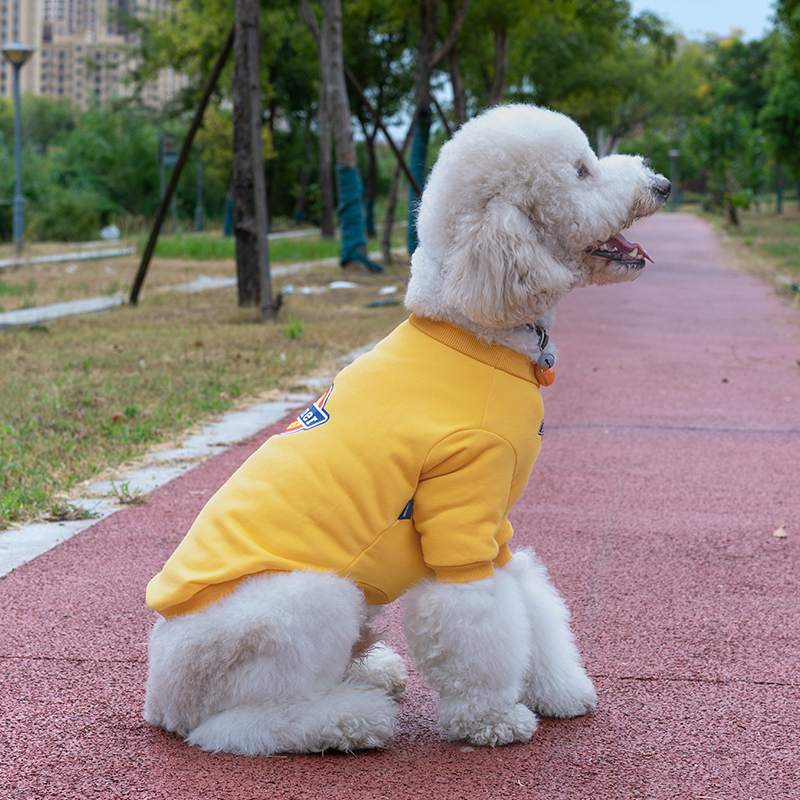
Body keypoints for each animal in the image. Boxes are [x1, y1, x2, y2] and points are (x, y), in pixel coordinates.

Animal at [144, 103, 668, 752]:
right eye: (581, 171)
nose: (661, 184)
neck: (472, 328)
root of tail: (159, 694)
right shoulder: (460, 511)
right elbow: (476, 619)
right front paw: (491, 719)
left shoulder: (495, 522)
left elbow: (528, 600)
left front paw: (558, 690)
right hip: (304, 604)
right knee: (240, 725)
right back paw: (352, 717)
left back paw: (373, 673)